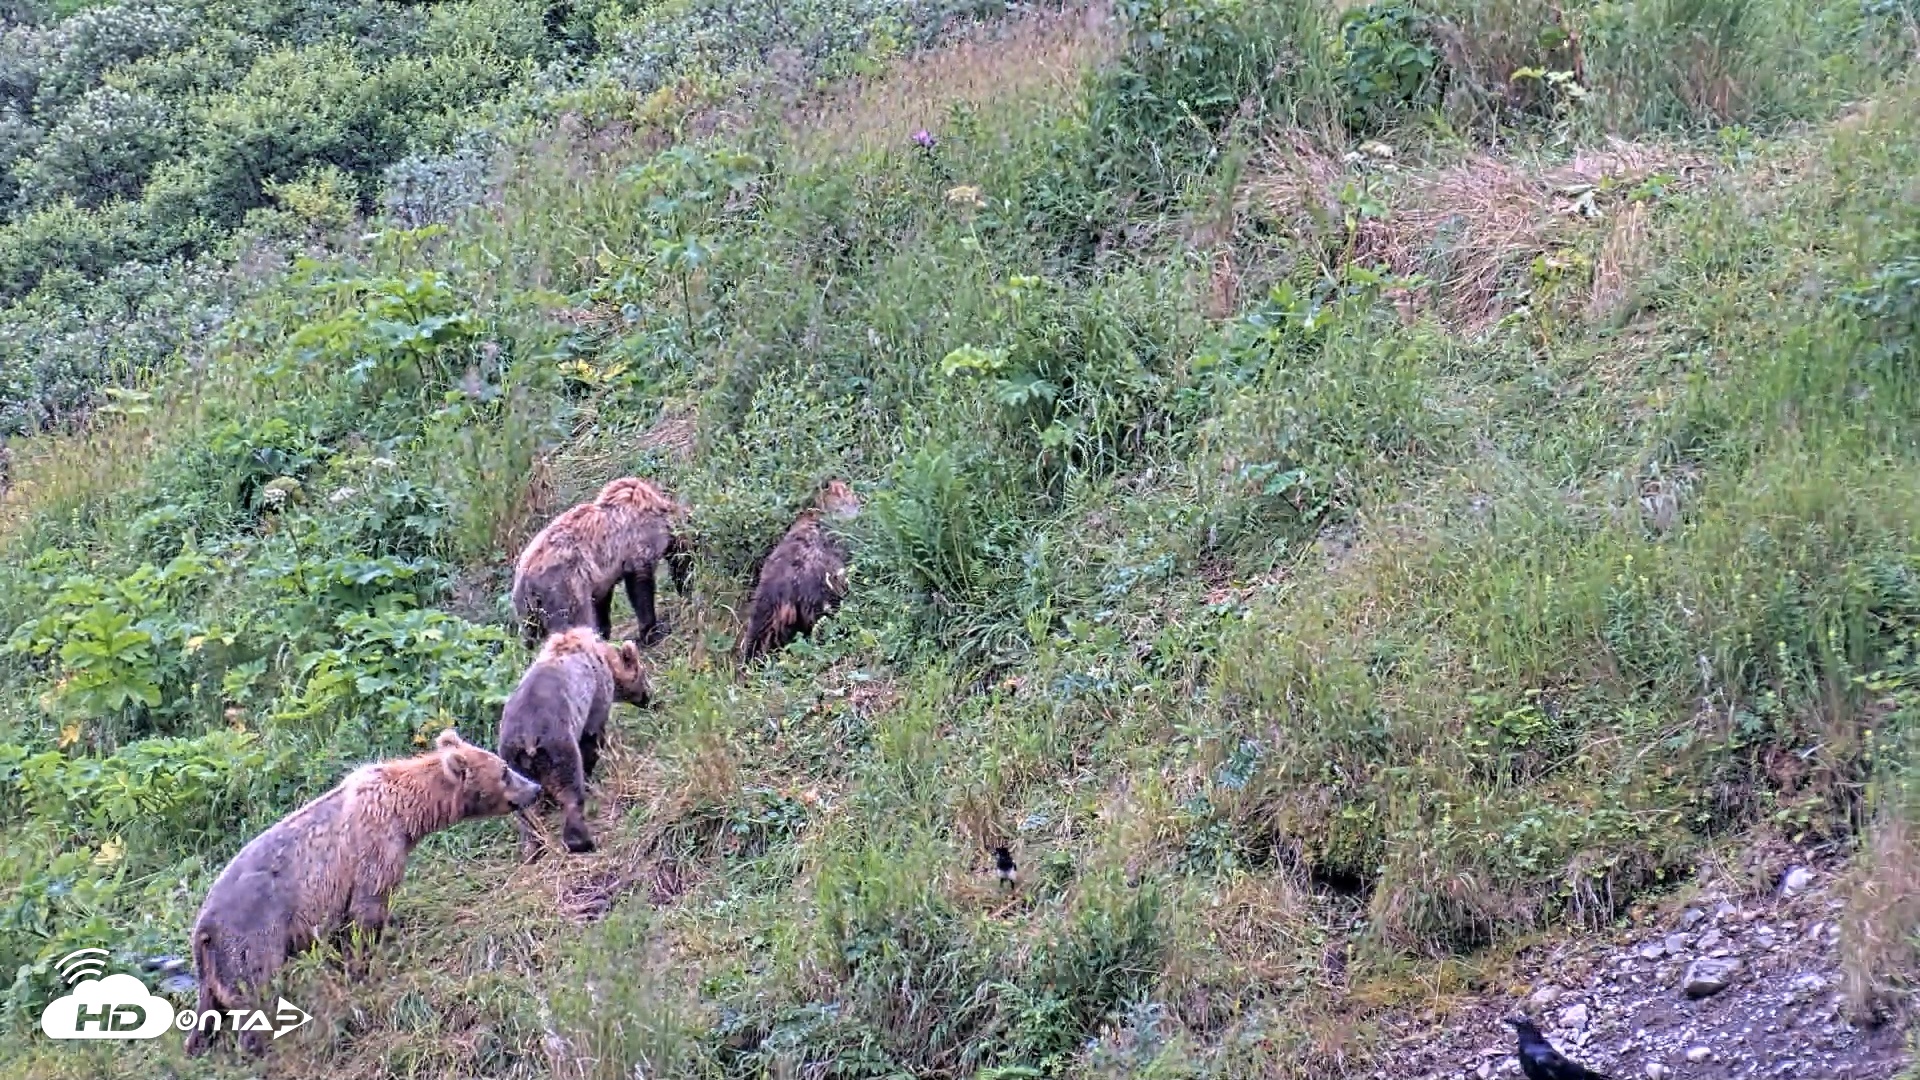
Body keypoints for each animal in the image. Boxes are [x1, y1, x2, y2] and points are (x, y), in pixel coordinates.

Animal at [185, 729, 540, 1057]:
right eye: (504, 770)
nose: (535, 789)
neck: (407, 813)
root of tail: (203, 928)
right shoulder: (374, 851)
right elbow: (368, 912)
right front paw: (366, 970)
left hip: (214, 968)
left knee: (208, 1015)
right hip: (252, 937)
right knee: (255, 993)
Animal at [497, 626, 652, 858]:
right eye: (642, 673)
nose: (649, 698)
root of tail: (528, 737)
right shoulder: (595, 696)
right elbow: (592, 738)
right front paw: (590, 772)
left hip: (512, 756)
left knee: (523, 807)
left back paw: (533, 846)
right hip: (557, 744)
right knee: (570, 790)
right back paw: (582, 842)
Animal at [510, 476, 692, 648]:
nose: (687, 590)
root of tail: (526, 578)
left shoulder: (602, 577)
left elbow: (602, 604)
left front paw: (605, 632)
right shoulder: (637, 550)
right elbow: (640, 589)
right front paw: (652, 631)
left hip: (528, 611)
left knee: (530, 637)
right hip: (562, 590)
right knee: (574, 622)